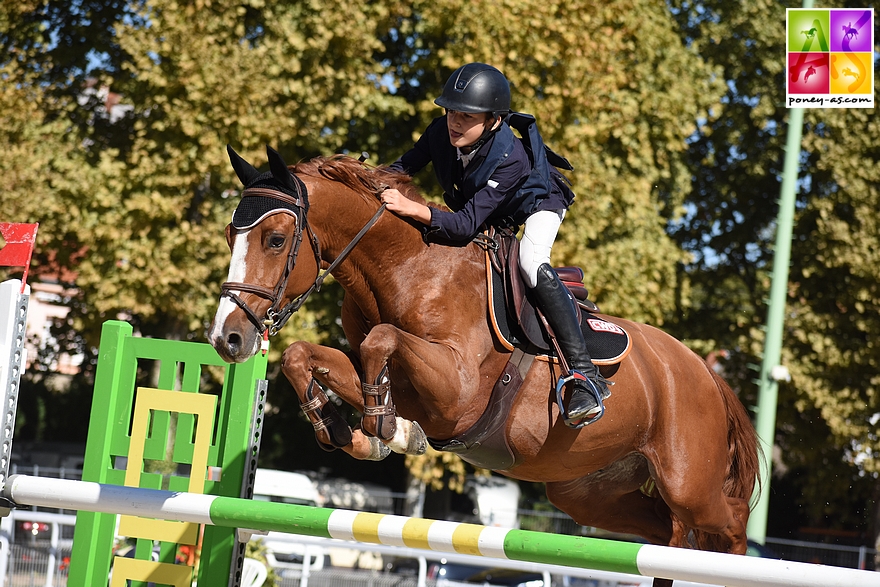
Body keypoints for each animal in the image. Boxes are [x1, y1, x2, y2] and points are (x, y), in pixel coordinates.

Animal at [210, 147, 760, 587]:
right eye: (230, 235)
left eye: (275, 239)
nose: (226, 338)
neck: (406, 268)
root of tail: (704, 371)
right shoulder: (402, 381)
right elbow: (308, 355)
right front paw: (350, 429)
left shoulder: (457, 392)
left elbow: (382, 341)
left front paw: (381, 427)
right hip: (587, 491)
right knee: (666, 533)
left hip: (689, 482)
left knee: (728, 522)